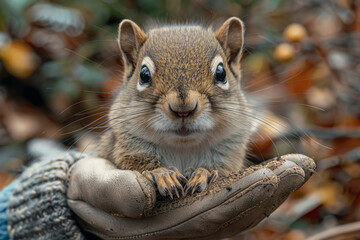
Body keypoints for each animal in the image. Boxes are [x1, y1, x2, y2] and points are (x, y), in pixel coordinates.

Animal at [96, 17, 256, 199]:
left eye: (221, 73)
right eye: (144, 75)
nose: (183, 110)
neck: (182, 148)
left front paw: (203, 173)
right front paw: (162, 174)